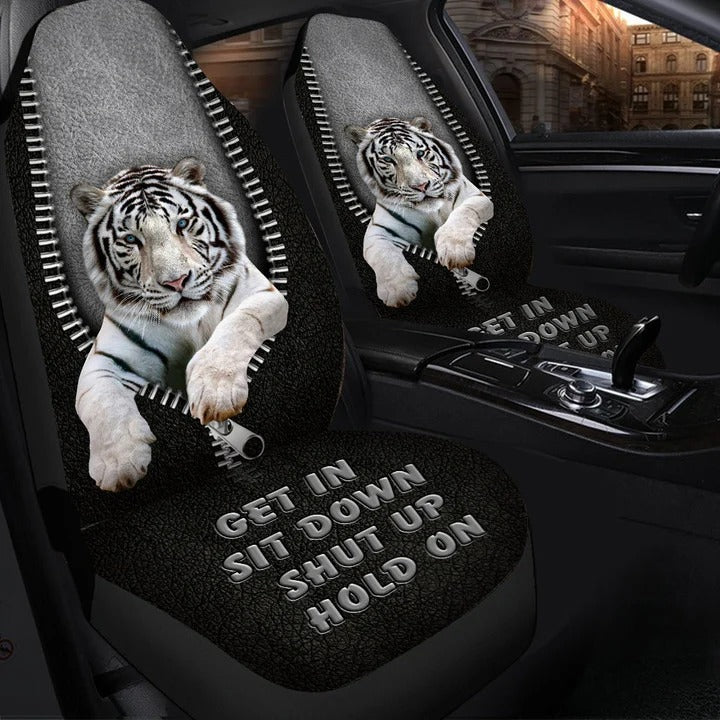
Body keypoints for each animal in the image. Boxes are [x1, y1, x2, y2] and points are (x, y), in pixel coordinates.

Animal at [70, 157, 288, 492]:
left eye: (181, 225)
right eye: (131, 239)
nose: (176, 281)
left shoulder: (262, 294)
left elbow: (237, 327)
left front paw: (215, 391)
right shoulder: (104, 359)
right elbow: (100, 402)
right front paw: (118, 462)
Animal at [345, 116, 494, 308]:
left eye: (420, 154)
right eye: (388, 159)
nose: (421, 186)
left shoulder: (476, 197)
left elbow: (462, 215)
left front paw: (455, 250)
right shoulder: (377, 231)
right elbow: (381, 255)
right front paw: (398, 289)